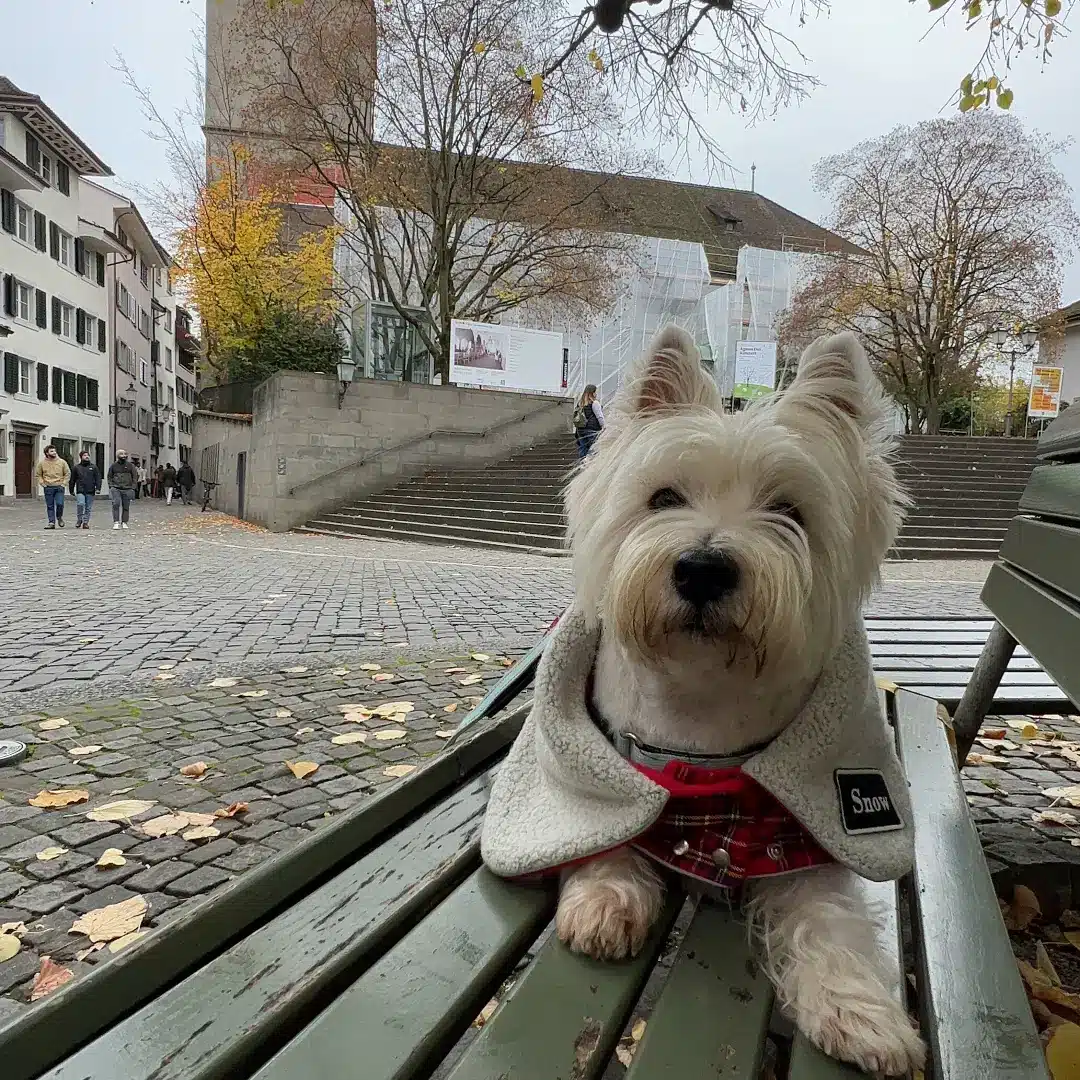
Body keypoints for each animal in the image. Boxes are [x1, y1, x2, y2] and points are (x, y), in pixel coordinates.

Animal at [486, 324, 924, 1075]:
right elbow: (603, 829)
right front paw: (605, 901)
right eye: (664, 497)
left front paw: (865, 1015)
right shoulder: (602, 770)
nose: (702, 569)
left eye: (788, 511)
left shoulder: (803, 834)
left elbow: (829, 918)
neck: (698, 714)